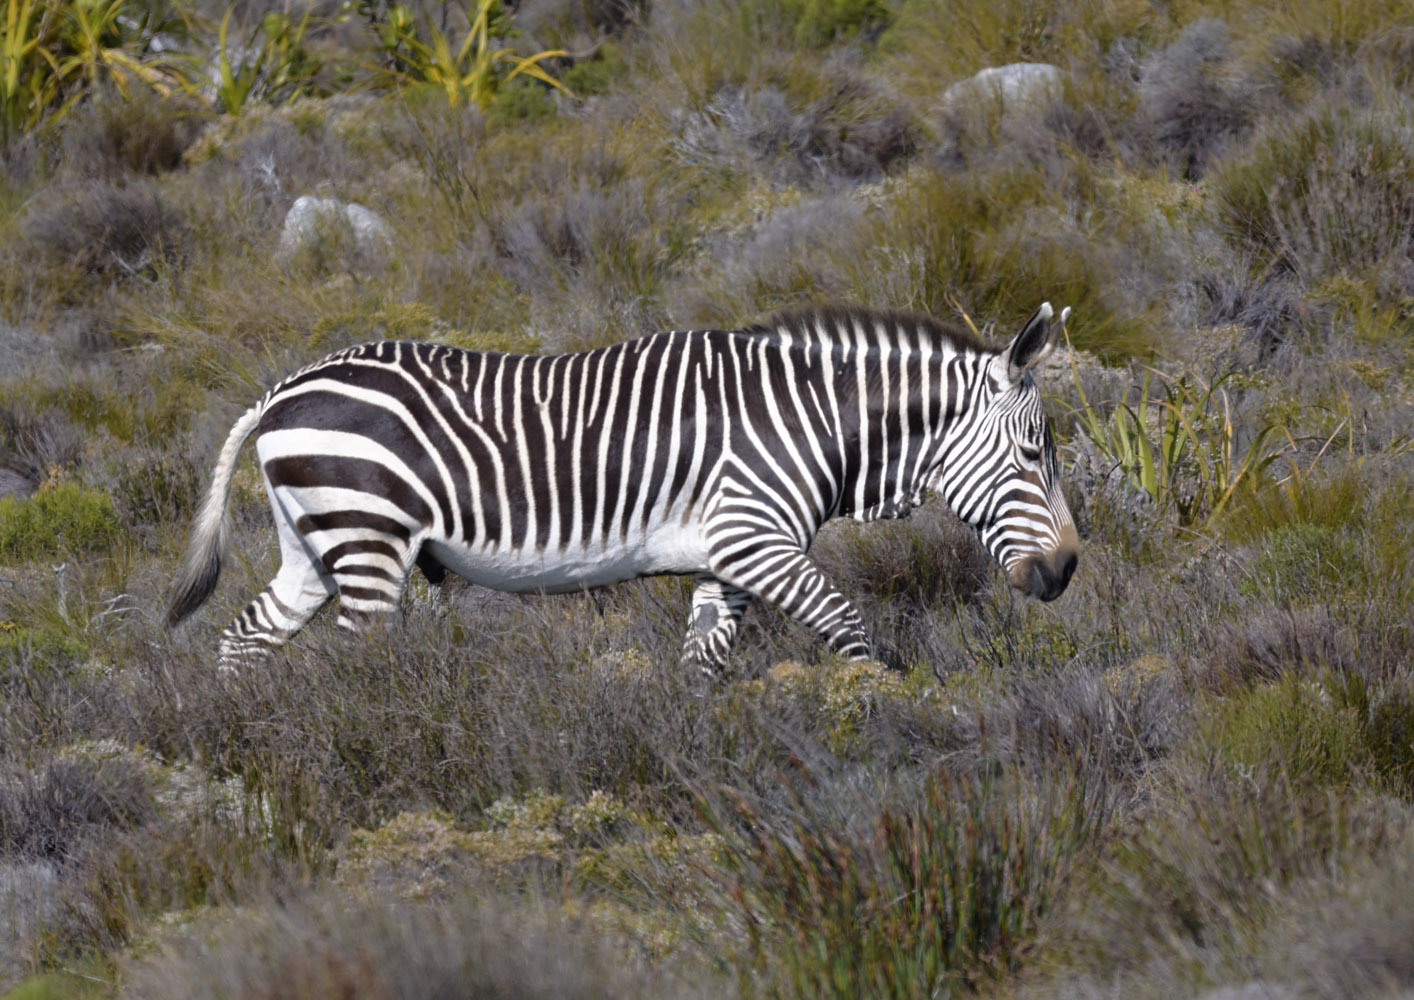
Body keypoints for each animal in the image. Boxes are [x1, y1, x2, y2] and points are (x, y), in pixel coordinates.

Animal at [168, 302, 1079, 675]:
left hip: (313, 545)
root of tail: (282, 390)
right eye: (1034, 452)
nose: (1067, 570)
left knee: (244, 638)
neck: (811, 418)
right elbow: (850, 628)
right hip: (364, 539)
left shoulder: (727, 558)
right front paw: (882, 716)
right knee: (358, 655)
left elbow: (704, 661)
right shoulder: (758, 541)